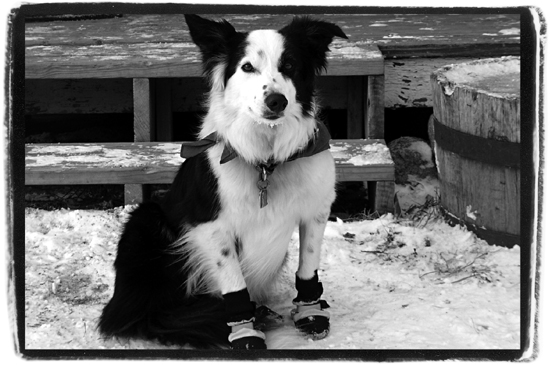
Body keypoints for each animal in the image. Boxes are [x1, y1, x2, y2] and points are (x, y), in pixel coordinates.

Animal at [98, 14, 348, 348]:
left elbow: (307, 267)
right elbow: (234, 285)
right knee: (149, 316)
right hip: (145, 219)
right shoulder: (211, 226)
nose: (276, 101)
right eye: (247, 67)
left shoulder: (316, 212)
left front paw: (310, 312)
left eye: (290, 65)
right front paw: (245, 332)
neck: (267, 162)